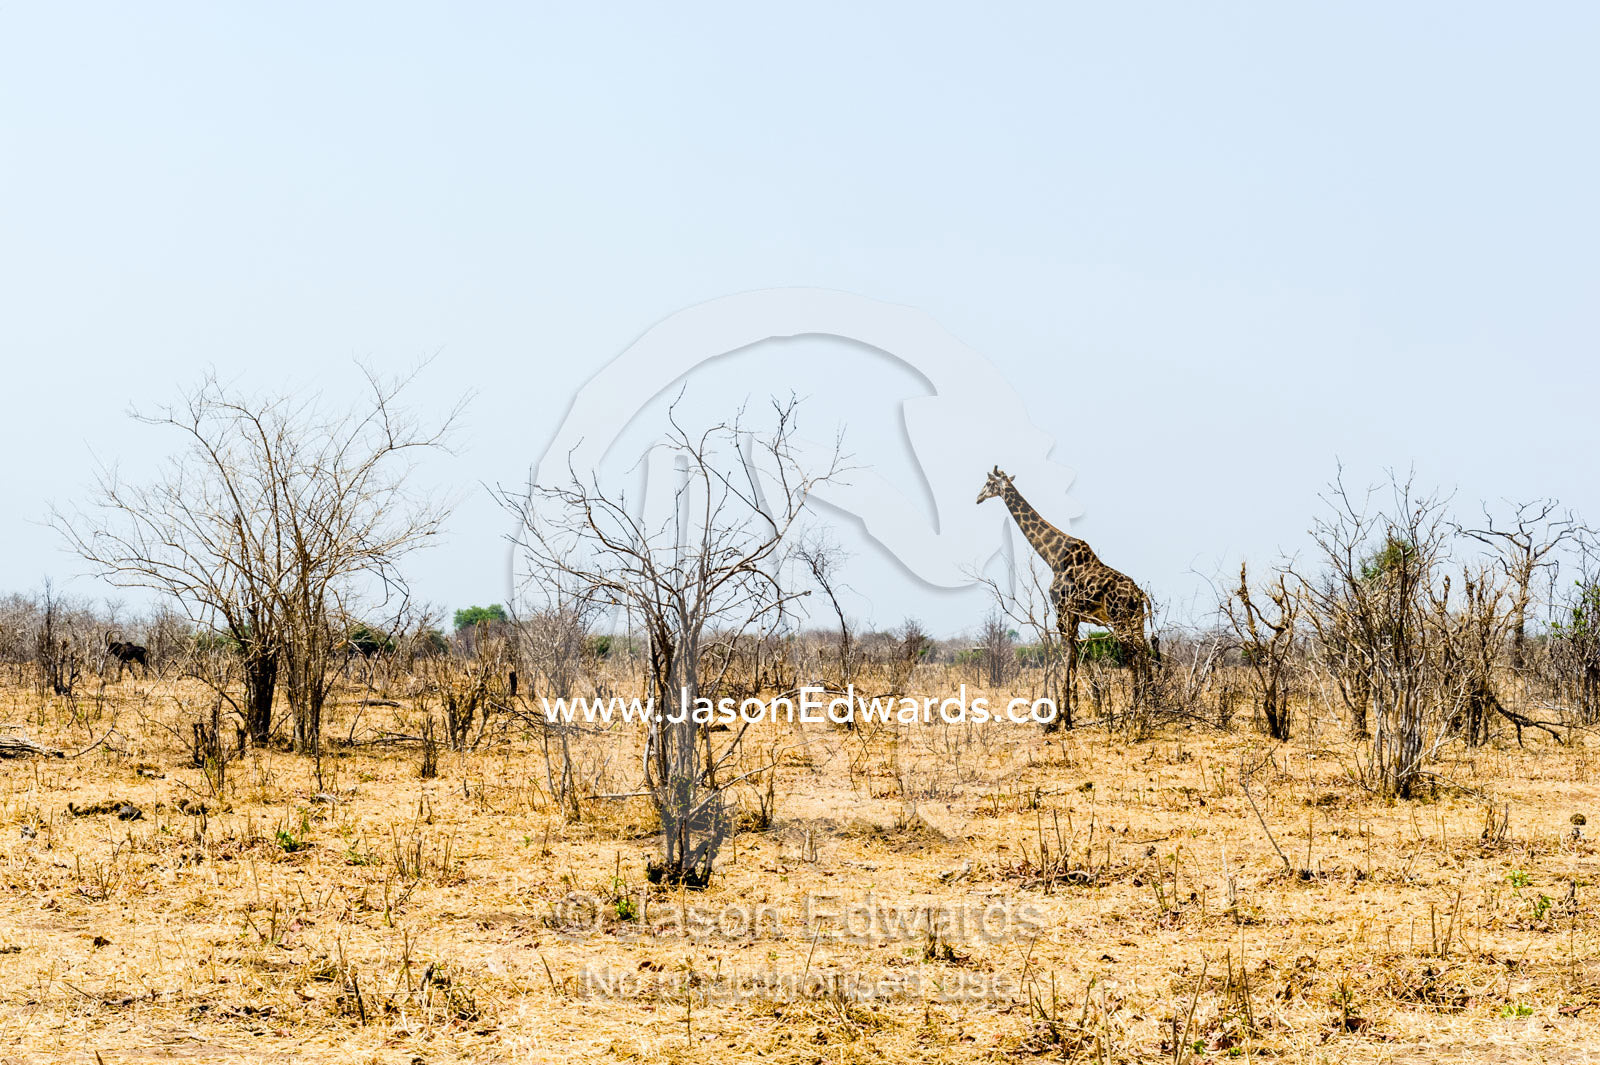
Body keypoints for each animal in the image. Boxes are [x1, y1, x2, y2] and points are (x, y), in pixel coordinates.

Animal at [976, 466, 1155, 723]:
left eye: (988, 484)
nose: (978, 497)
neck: (1052, 556)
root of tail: (1140, 594)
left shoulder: (1061, 610)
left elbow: (1067, 654)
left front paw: (1067, 711)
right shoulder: (1075, 615)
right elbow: (1076, 652)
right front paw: (1082, 704)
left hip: (1120, 620)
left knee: (1133, 656)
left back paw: (1137, 706)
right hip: (1135, 620)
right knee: (1144, 652)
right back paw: (1150, 701)